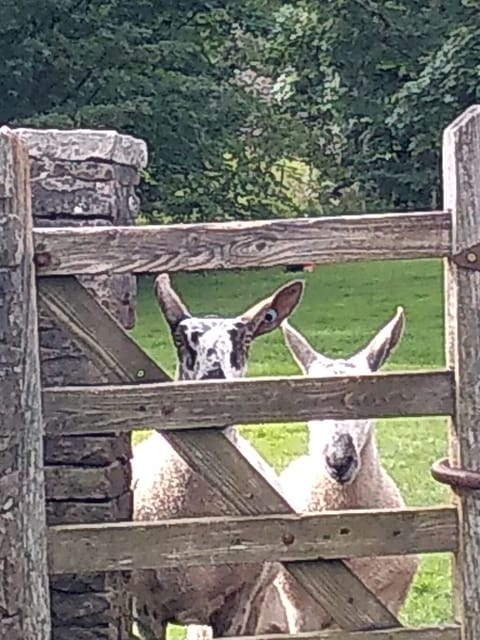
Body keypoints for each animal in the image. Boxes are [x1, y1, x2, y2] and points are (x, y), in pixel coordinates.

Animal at [131, 273, 304, 640]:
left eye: (246, 339)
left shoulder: (238, 603)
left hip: (257, 598)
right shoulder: (146, 608)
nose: (214, 384)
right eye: (180, 339)